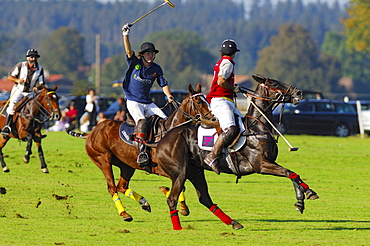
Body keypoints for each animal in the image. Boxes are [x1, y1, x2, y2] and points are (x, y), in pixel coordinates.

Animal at [68, 83, 215, 222]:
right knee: (112, 187)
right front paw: (173, 198)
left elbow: (182, 186)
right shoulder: (163, 168)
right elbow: (180, 186)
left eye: (206, 100)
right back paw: (125, 214)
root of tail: (92, 132)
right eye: (198, 102)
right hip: (103, 160)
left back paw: (144, 203)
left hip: (127, 165)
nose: (213, 119)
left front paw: (182, 206)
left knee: (121, 186)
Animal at [155, 74, 320, 230]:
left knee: (204, 198)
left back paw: (234, 223)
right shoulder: (261, 165)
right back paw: (178, 227)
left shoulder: (269, 162)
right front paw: (304, 197)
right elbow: (289, 173)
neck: (256, 128)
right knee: (172, 198)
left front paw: (304, 197)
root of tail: (162, 139)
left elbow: (292, 174)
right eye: (274, 83)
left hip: (195, 171)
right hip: (180, 172)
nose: (299, 92)